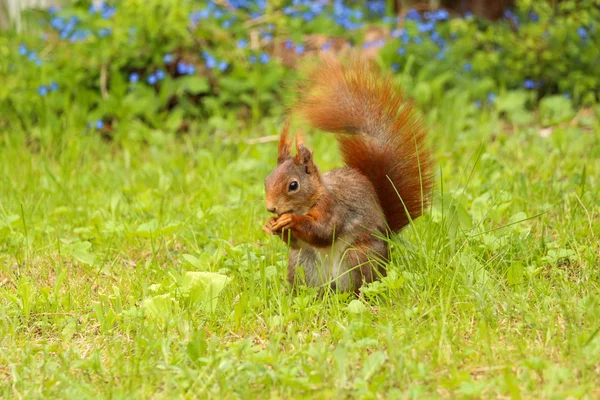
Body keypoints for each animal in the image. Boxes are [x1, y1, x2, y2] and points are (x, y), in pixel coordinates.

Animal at [262, 56, 432, 292]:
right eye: (267, 180)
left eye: (293, 185)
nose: (271, 208)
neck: (307, 203)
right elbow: (295, 241)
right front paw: (271, 224)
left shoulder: (334, 206)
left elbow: (324, 231)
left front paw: (291, 220)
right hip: (301, 262)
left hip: (358, 256)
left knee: (360, 284)